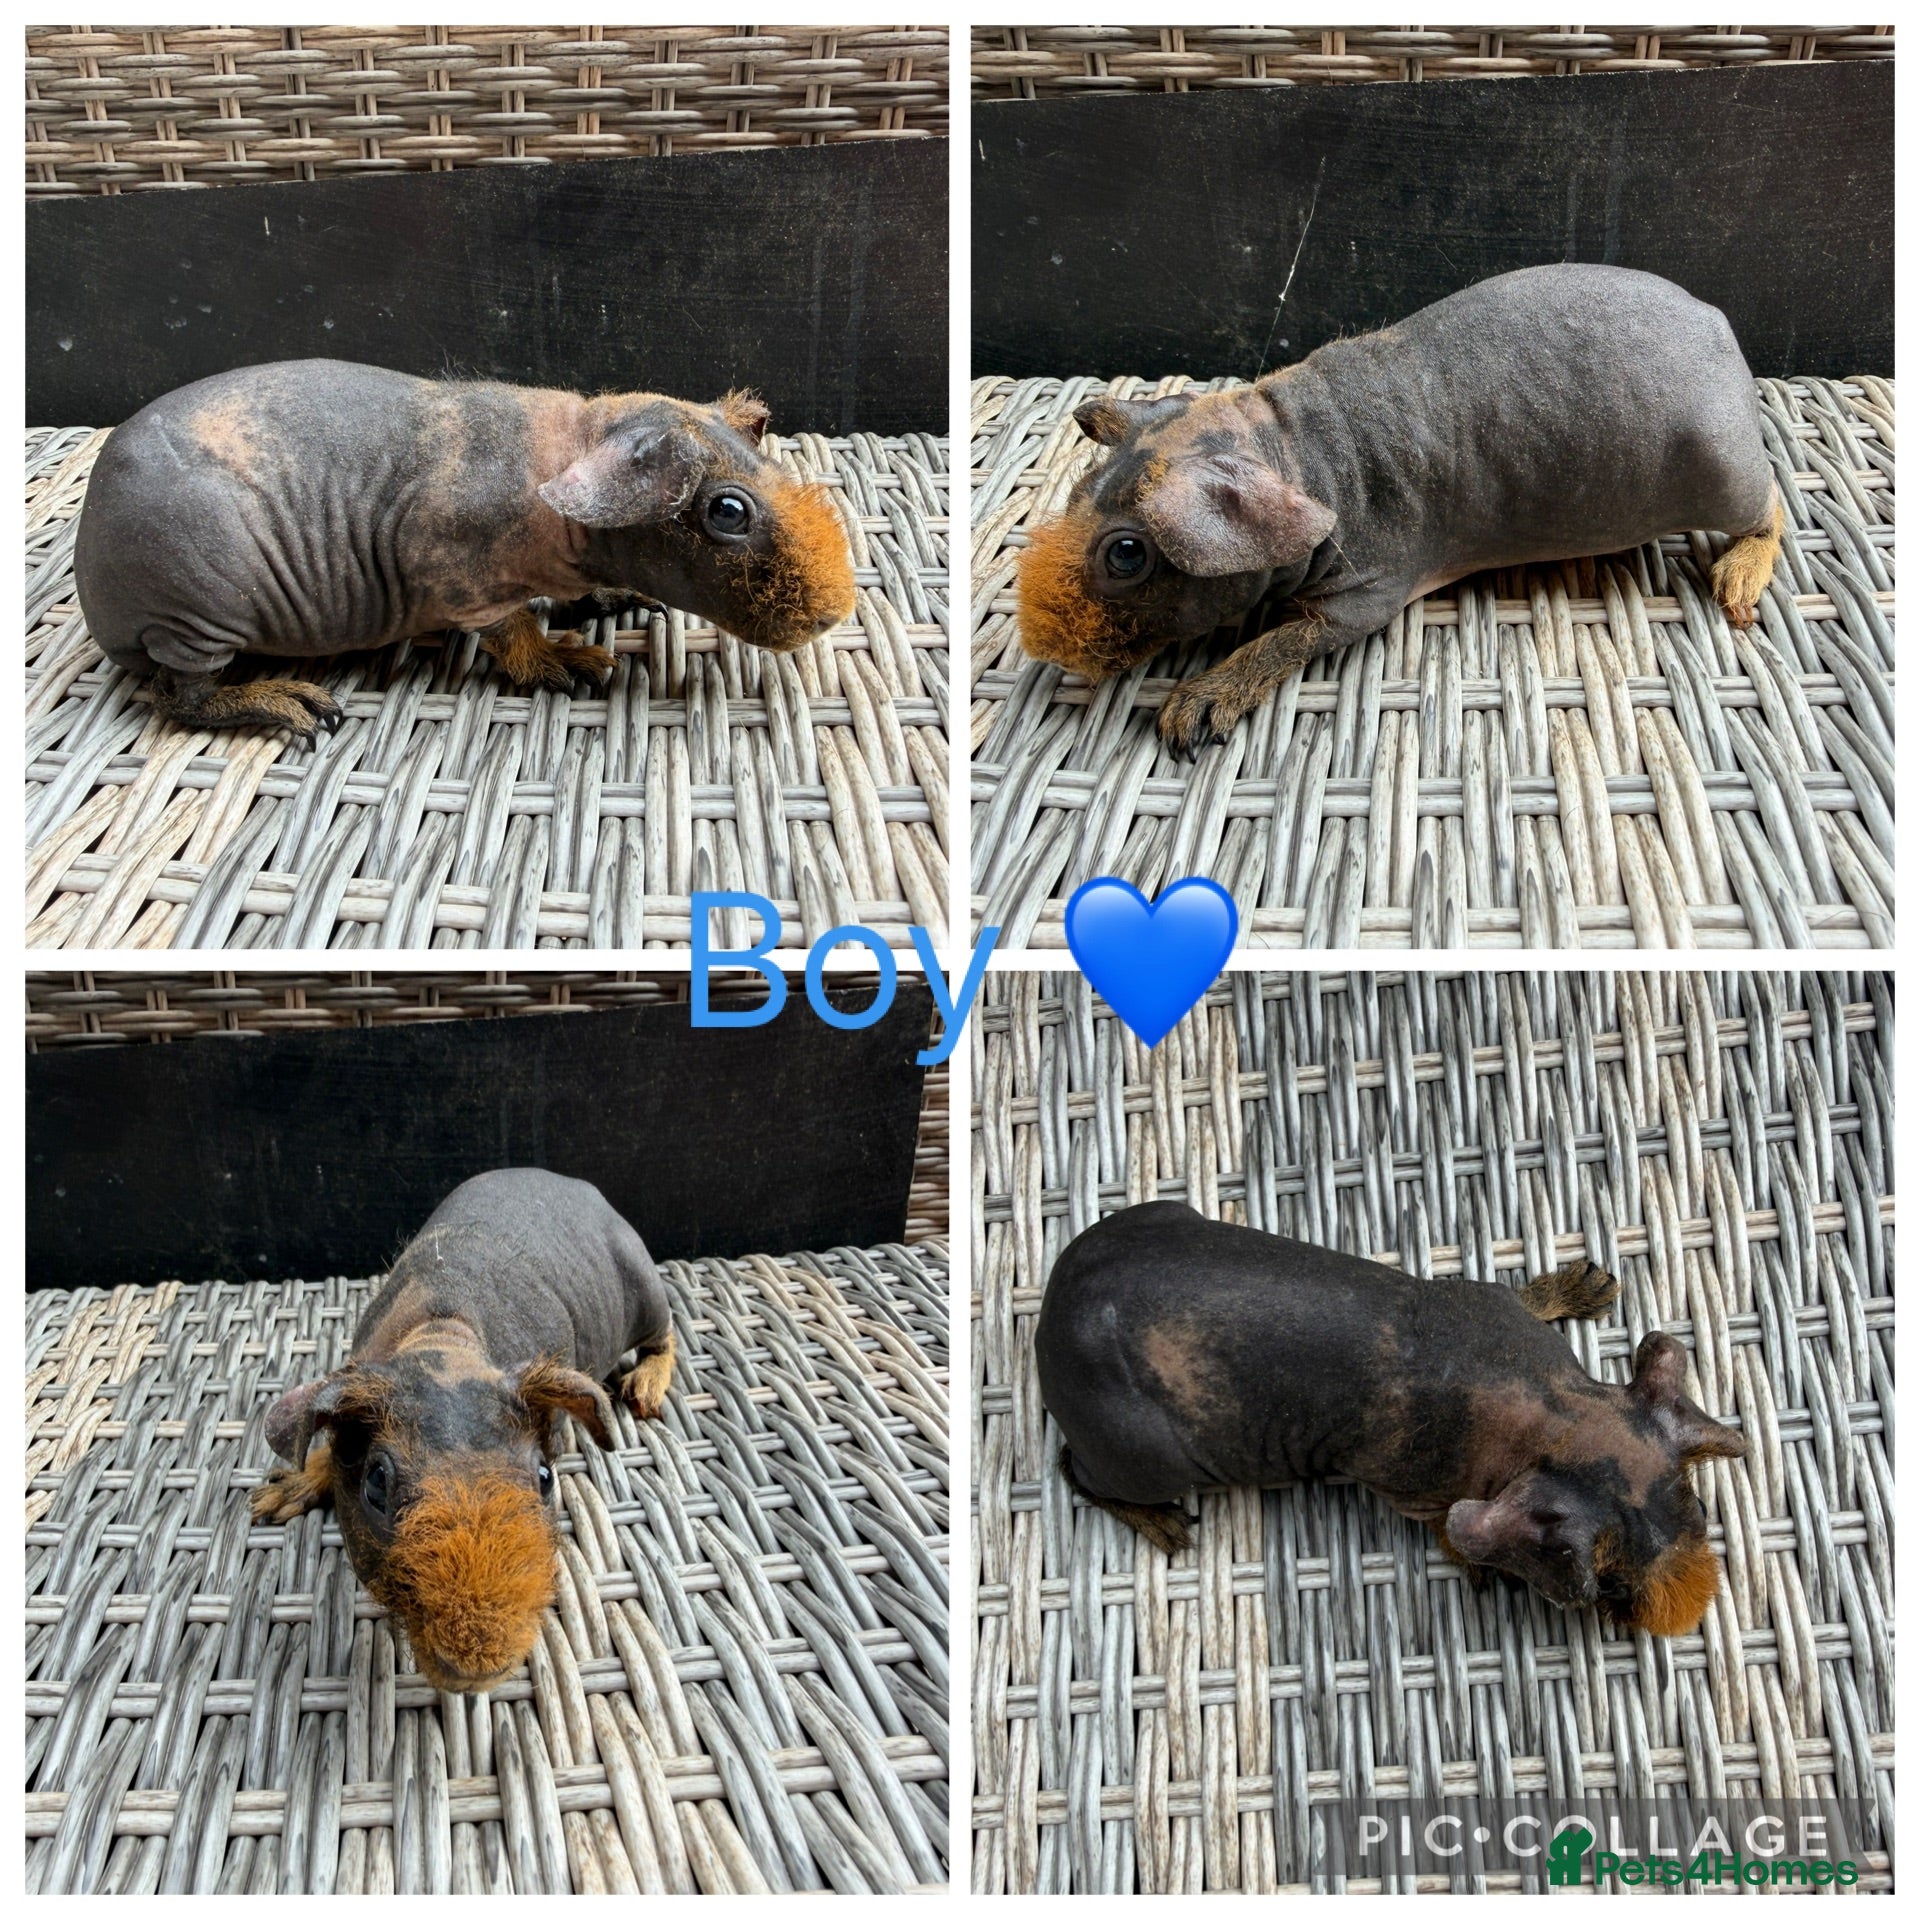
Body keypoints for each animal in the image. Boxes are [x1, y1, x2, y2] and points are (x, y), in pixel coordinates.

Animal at [74, 360, 857, 743]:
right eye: (727, 511)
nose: (836, 611)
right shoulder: (460, 583)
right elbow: (513, 635)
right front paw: (576, 662)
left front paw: (619, 600)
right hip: (197, 624)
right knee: (184, 699)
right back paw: (297, 706)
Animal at [1036, 1202, 1747, 1636]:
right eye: (1609, 1590)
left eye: (1698, 1510)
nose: (1689, 1612)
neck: (1549, 1421)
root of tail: (1047, 1315)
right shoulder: (1404, 1488)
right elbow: (1446, 1528)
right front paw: (1476, 1569)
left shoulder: (1492, 1304)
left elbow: (1521, 1295)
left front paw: (1584, 1286)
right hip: (1142, 1460)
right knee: (1073, 1469)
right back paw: (1165, 1528)